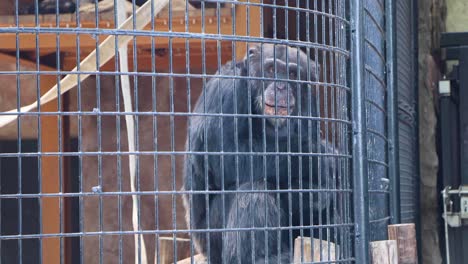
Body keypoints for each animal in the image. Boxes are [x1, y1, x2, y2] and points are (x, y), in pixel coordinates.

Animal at [181, 44, 338, 262]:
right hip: (211, 239)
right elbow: (225, 155)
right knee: (255, 191)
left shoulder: (310, 107)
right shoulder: (225, 90)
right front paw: (320, 156)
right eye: (271, 70)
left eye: (292, 74)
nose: (281, 86)